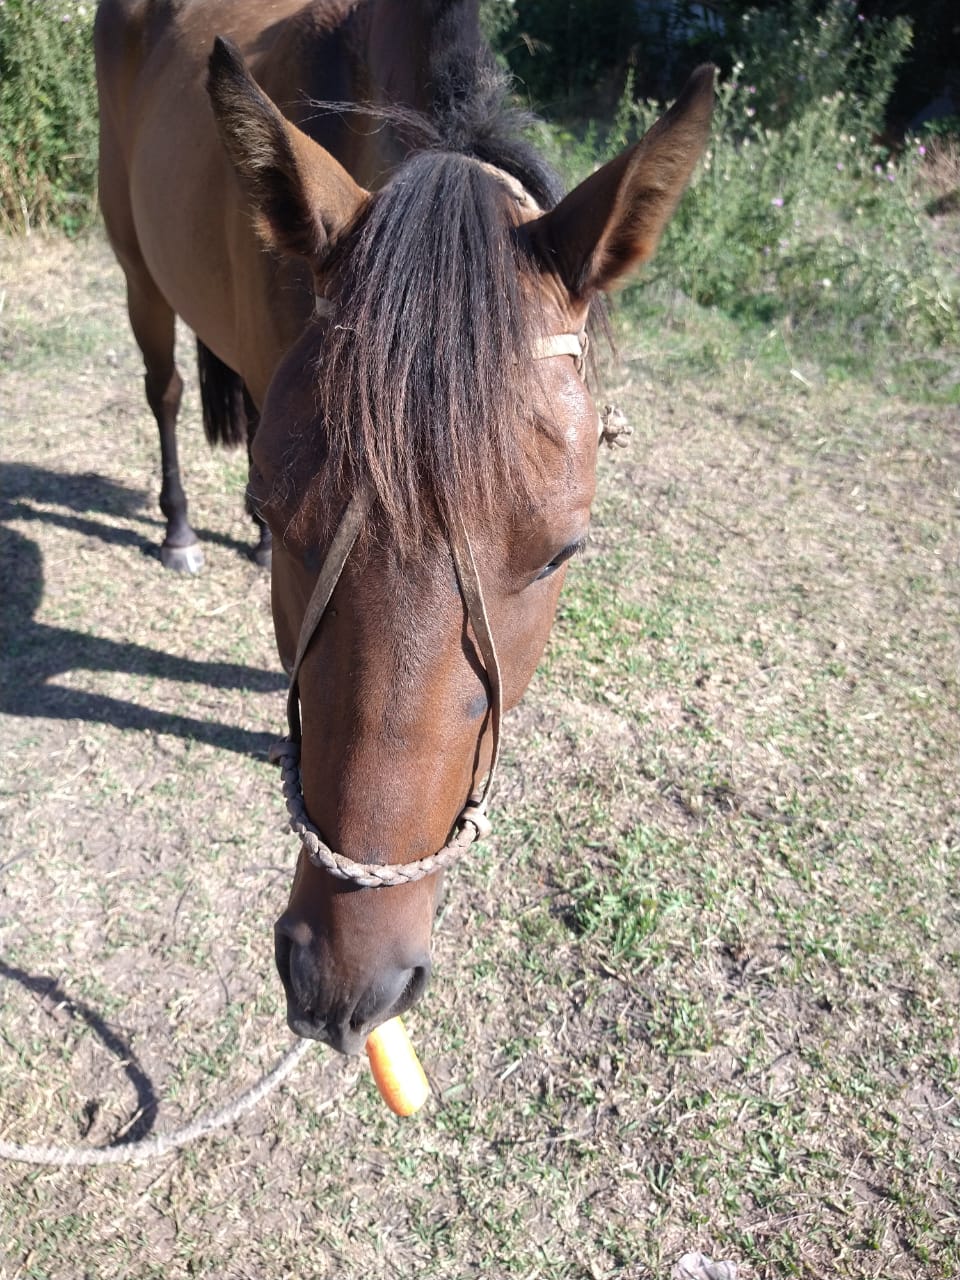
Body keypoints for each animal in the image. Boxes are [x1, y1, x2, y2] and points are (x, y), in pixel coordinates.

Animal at [96, 0, 716, 1054]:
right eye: (279, 513)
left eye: (562, 553)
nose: (345, 982)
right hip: (137, 266)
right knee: (166, 389)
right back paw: (178, 527)